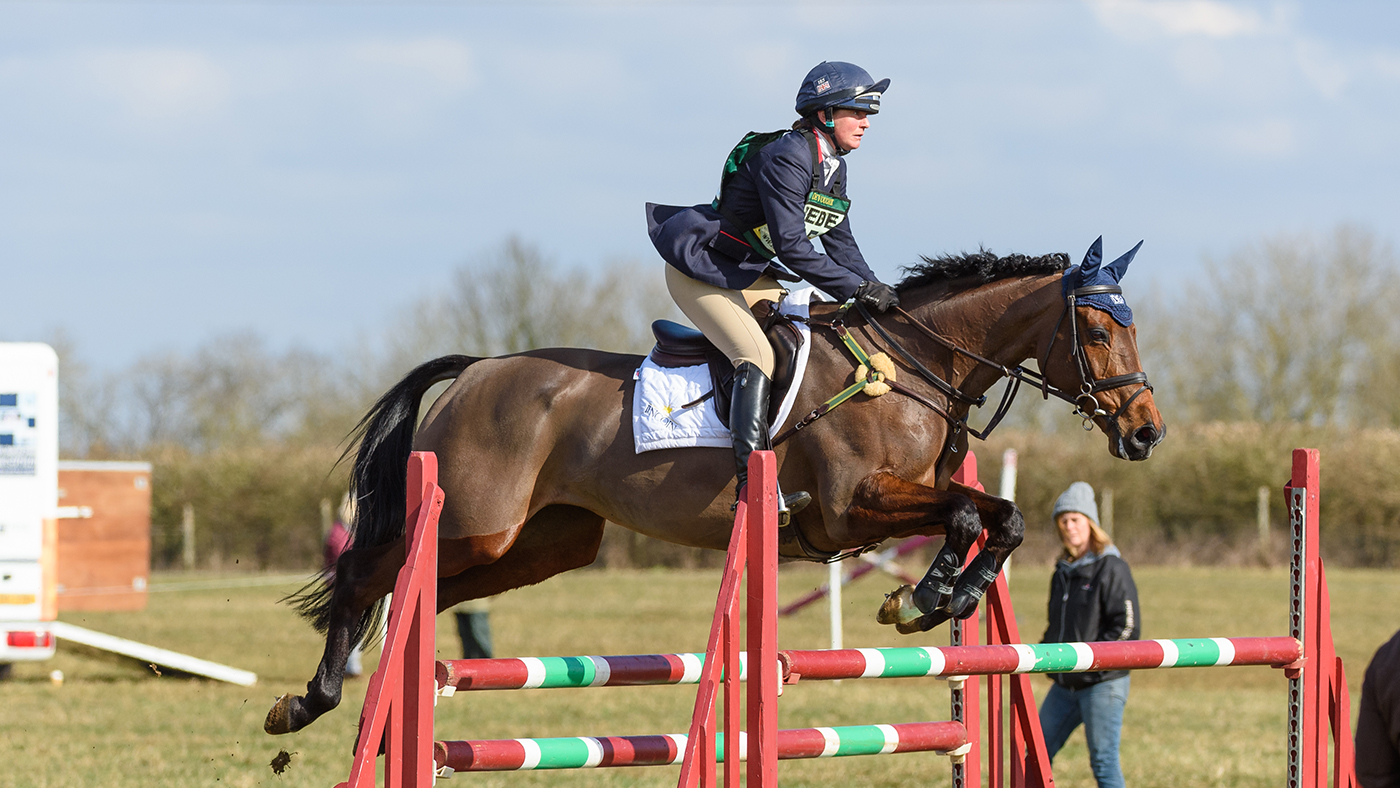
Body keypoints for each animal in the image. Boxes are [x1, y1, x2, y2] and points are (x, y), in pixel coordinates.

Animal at [265, 239, 1164, 735]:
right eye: (1095, 330)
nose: (1146, 432)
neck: (913, 364)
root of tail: (479, 369)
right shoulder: (851, 510)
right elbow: (977, 516)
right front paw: (926, 596)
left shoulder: (890, 509)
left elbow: (997, 517)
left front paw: (935, 598)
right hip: (476, 523)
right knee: (365, 574)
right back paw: (308, 702)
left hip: (547, 542)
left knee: (428, 594)